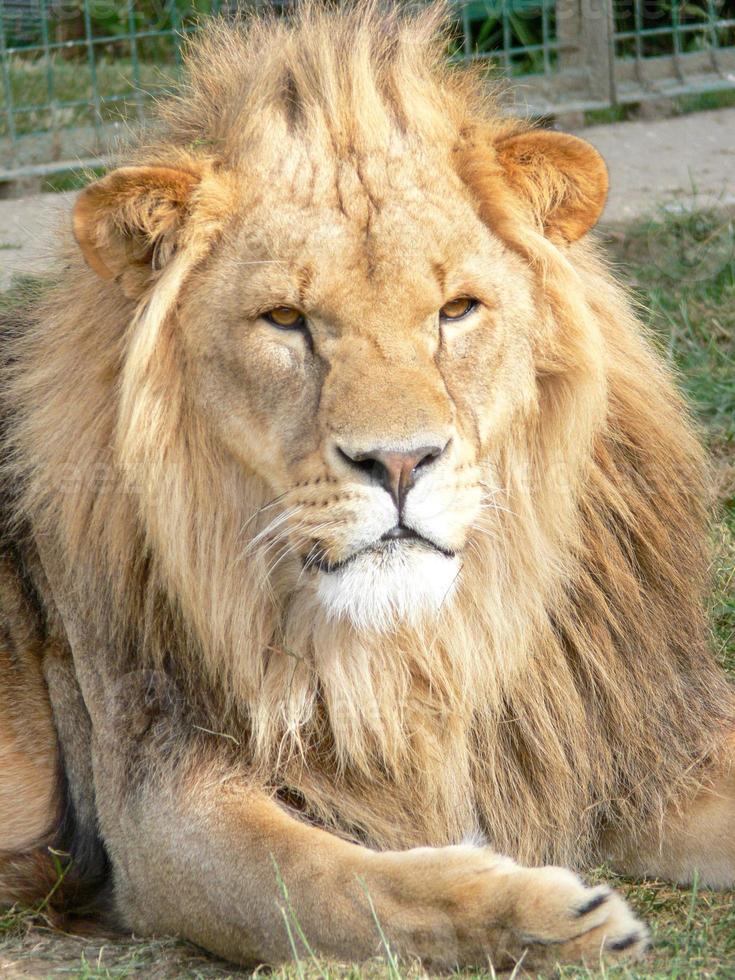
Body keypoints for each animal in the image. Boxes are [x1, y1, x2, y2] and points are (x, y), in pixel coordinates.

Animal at [1, 1, 735, 972]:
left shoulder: (625, 739)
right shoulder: (157, 804)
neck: (419, 650)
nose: (398, 464)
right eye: (285, 319)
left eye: (456, 310)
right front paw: (546, 918)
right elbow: (338, 885)